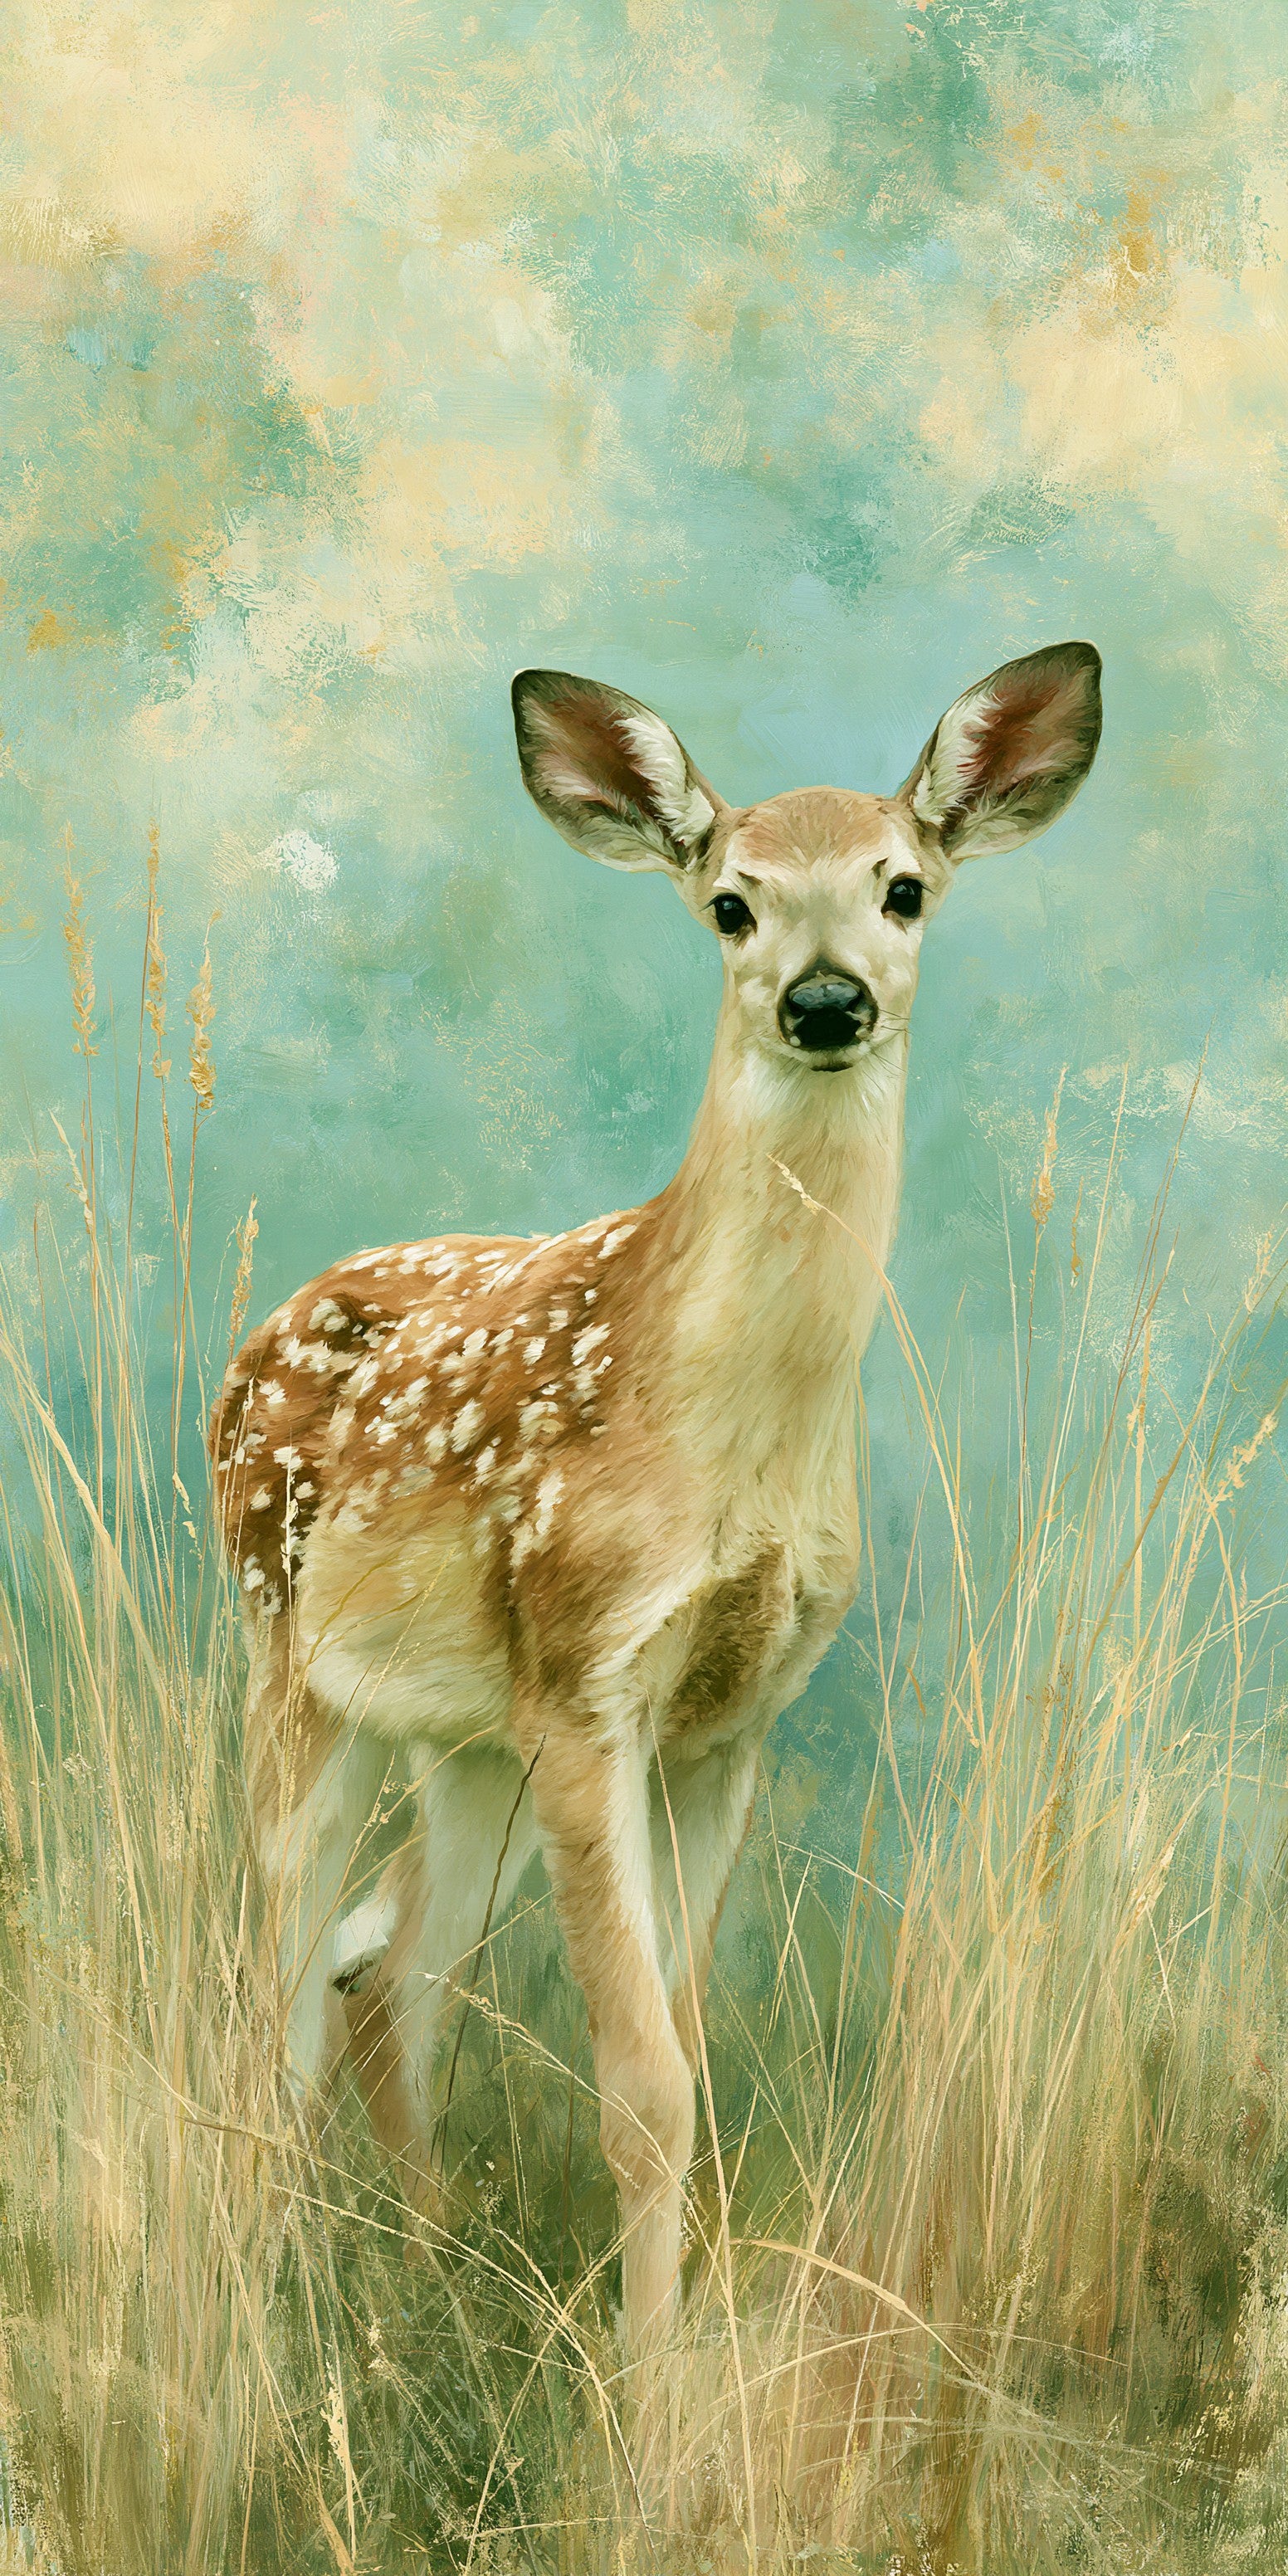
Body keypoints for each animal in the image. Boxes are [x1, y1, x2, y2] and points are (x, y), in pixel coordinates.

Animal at [212, 641, 1101, 2389]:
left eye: (903, 886)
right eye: (731, 903)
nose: (826, 998)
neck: (722, 1439)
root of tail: (254, 1342)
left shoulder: (723, 1718)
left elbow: (685, 2048)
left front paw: (675, 2359)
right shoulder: (589, 1673)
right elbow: (641, 2086)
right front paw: (641, 2398)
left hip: (468, 1739)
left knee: (389, 1966)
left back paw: (425, 2263)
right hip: (300, 1665)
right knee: (278, 1964)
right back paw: (277, 2291)